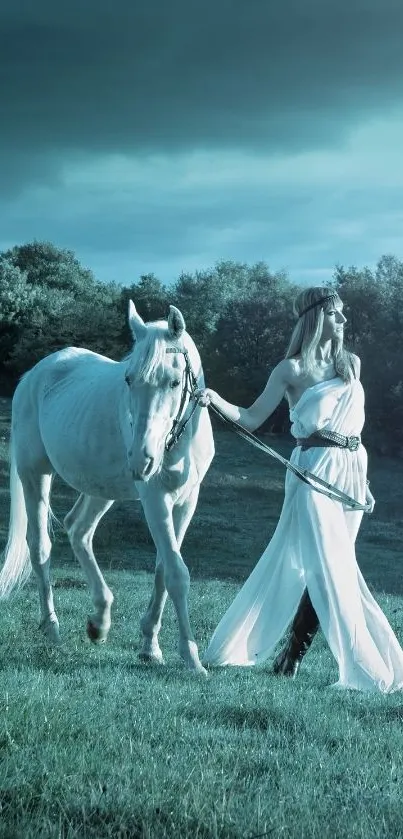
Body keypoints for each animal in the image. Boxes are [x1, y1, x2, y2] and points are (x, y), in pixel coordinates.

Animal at [0, 302, 216, 676]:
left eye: (175, 382)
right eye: (129, 379)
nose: (142, 460)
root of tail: (33, 375)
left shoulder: (187, 501)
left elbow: (163, 569)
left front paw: (150, 646)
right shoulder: (155, 499)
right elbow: (177, 574)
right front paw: (191, 656)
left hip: (101, 490)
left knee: (78, 531)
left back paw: (99, 621)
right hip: (34, 474)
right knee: (40, 545)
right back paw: (52, 628)